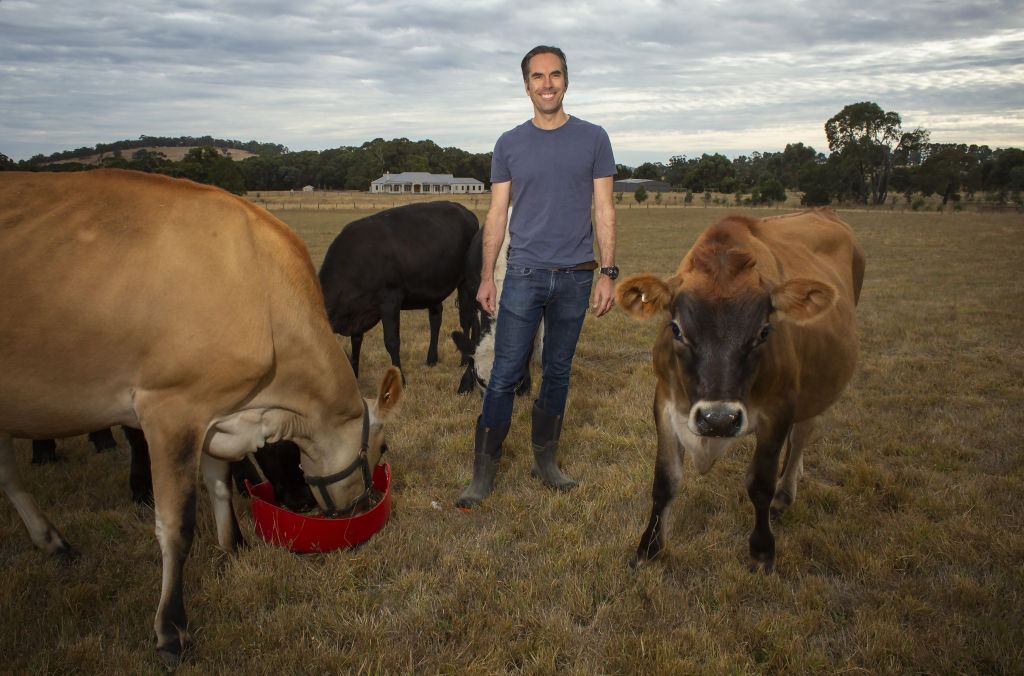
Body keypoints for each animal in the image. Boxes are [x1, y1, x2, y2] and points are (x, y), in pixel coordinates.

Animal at [0, 169, 401, 663]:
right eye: (383, 446)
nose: (365, 506)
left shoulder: (216, 414)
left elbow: (221, 487)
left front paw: (234, 549)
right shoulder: (170, 412)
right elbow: (176, 525)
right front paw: (171, 629)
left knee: (8, 474)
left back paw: (52, 541)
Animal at [319, 199, 479, 381]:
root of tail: (465, 211)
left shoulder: (390, 299)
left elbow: (391, 341)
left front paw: (400, 377)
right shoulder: (359, 310)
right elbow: (357, 341)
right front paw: (355, 374)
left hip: (467, 282)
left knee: (467, 318)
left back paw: (465, 360)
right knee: (436, 317)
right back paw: (432, 359)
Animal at [614, 208, 864, 573]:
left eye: (764, 332)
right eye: (676, 329)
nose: (718, 420)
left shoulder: (779, 408)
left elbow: (760, 484)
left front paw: (761, 551)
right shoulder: (665, 402)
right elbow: (665, 481)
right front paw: (648, 548)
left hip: (817, 386)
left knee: (801, 435)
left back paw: (785, 492)